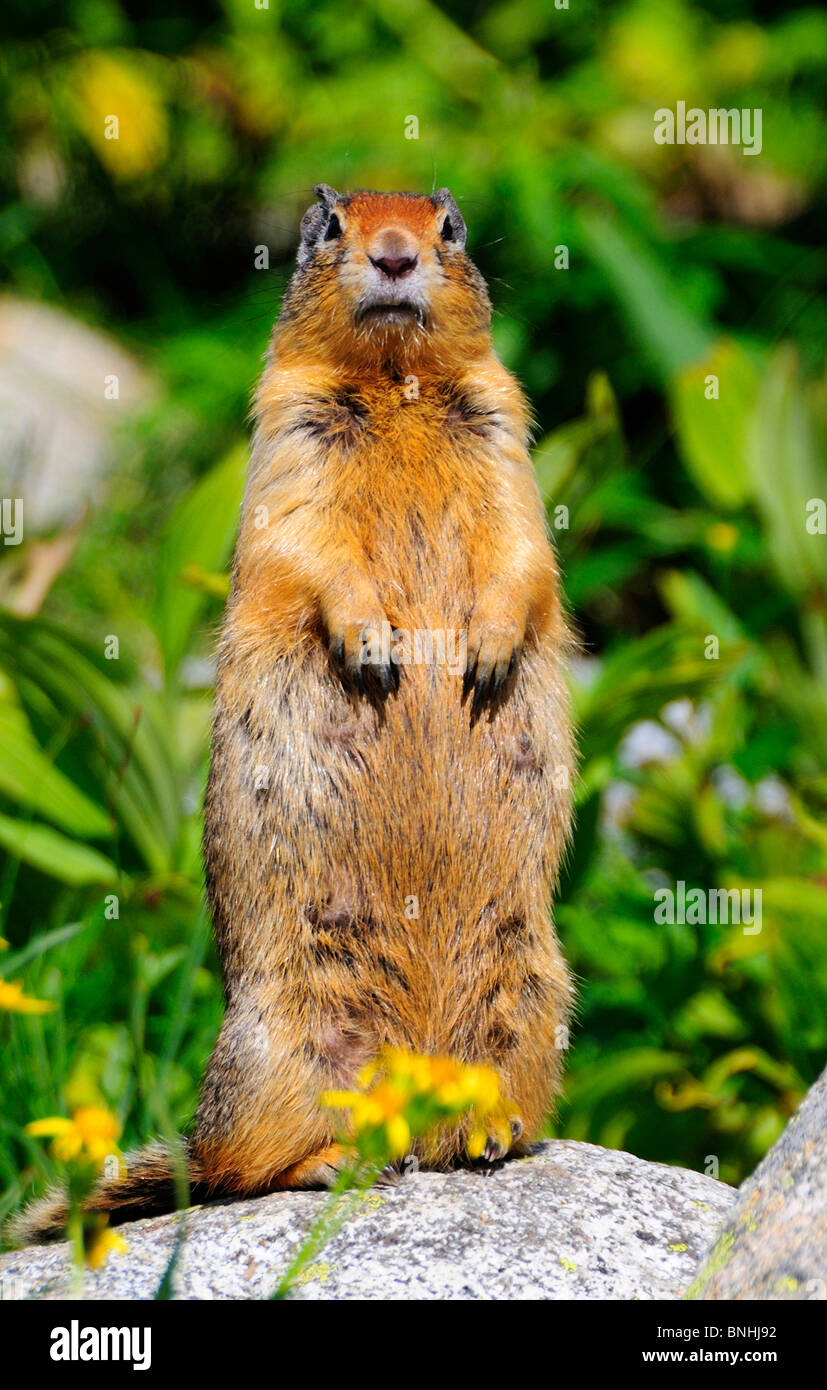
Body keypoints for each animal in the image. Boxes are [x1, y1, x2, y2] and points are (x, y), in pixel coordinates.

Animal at [10, 184, 574, 1244]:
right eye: (326, 225)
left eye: (448, 226)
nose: (393, 255)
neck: (396, 388)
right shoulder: (286, 448)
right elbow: (310, 551)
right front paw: (375, 645)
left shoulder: (507, 442)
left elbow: (524, 555)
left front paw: (479, 651)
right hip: (283, 1042)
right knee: (239, 1172)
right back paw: (326, 1163)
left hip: (530, 999)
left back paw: (490, 1133)